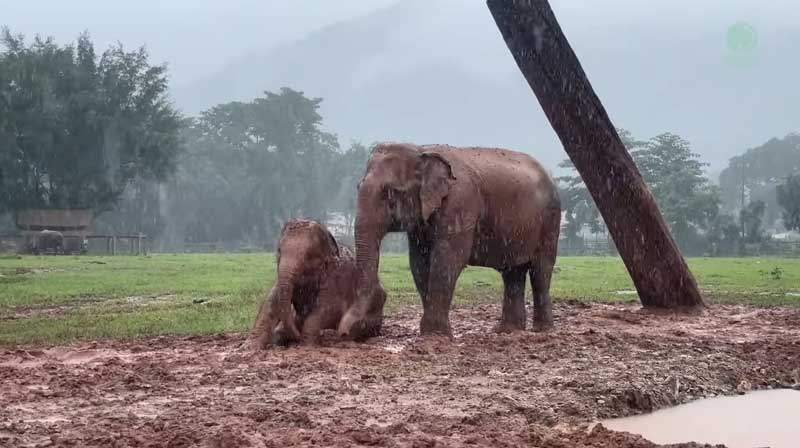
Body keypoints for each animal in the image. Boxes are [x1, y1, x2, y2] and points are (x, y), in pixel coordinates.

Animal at [247, 219, 366, 348]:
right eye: (279, 251)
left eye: (308, 256)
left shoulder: (338, 278)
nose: (296, 336)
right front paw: (249, 346)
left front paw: (306, 345)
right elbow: (270, 302)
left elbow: (330, 307)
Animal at [340, 144, 564, 340]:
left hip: (551, 220)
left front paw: (435, 335)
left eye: (390, 192)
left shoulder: (460, 203)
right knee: (513, 272)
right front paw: (435, 333)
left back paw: (542, 330)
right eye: (358, 186)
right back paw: (508, 331)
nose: (345, 333)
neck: (421, 150)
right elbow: (419, 263)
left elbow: (447, 259)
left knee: (541, 270)